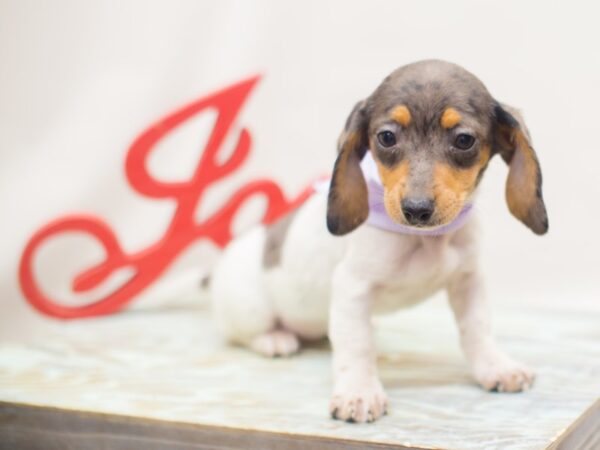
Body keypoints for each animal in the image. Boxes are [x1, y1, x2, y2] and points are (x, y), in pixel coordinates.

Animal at [212, 59, 548, 422]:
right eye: (387, 137)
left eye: (463, 139)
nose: (416, 209)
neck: (425, 240)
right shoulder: (353, 287)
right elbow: (357, 346)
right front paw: (358, 392)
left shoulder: (468, 280)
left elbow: (478, 328)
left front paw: (495, 367)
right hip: (250, 309)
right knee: (245, 334)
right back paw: (274, 339)